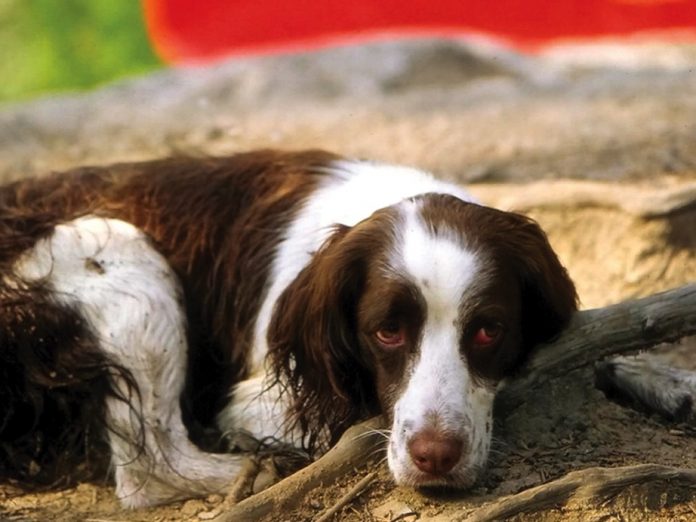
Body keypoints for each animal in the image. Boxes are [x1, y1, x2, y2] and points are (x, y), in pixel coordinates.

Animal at [0, 149, 576, 504]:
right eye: (386, 331)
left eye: (488, 331)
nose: (435, 457)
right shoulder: (258, 398)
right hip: (120, 248)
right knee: (154, 469)